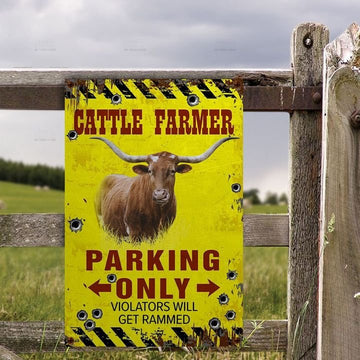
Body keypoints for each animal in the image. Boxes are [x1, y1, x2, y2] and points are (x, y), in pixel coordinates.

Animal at [91, 136, 238, 243]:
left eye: (172, 171)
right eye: (150, 171)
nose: (160, 195)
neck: (156, 213)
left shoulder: (161, 232)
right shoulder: (134, 233)